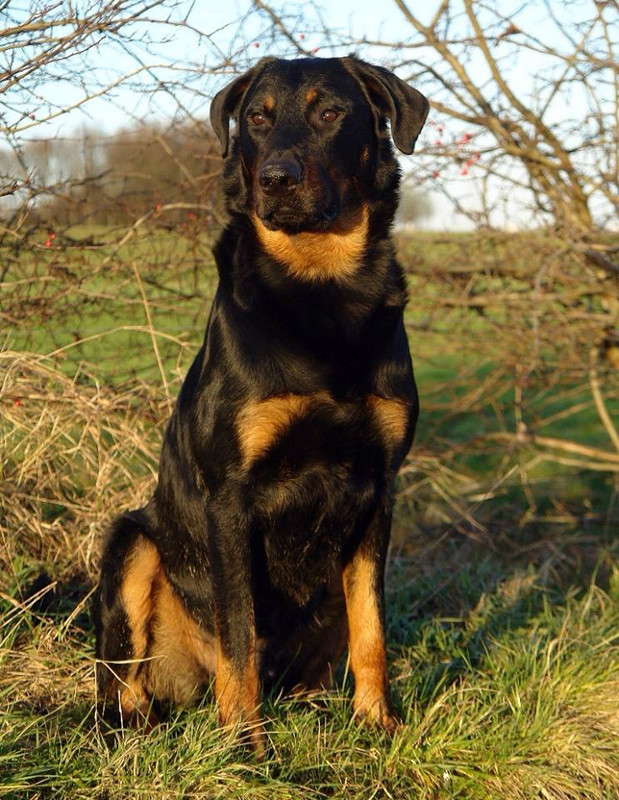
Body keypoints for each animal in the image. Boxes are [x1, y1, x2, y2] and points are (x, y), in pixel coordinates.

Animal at [95, 55, 428, 756]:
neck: (322, 286)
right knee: (123, 679)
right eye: (256, 118)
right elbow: (240, 633)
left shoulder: (378, 489)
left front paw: (378, 724)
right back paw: (141, 730)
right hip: (133, 540)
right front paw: (244, 747)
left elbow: (372, 628)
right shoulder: (231, 495)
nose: (276, 178)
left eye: (329, 112)